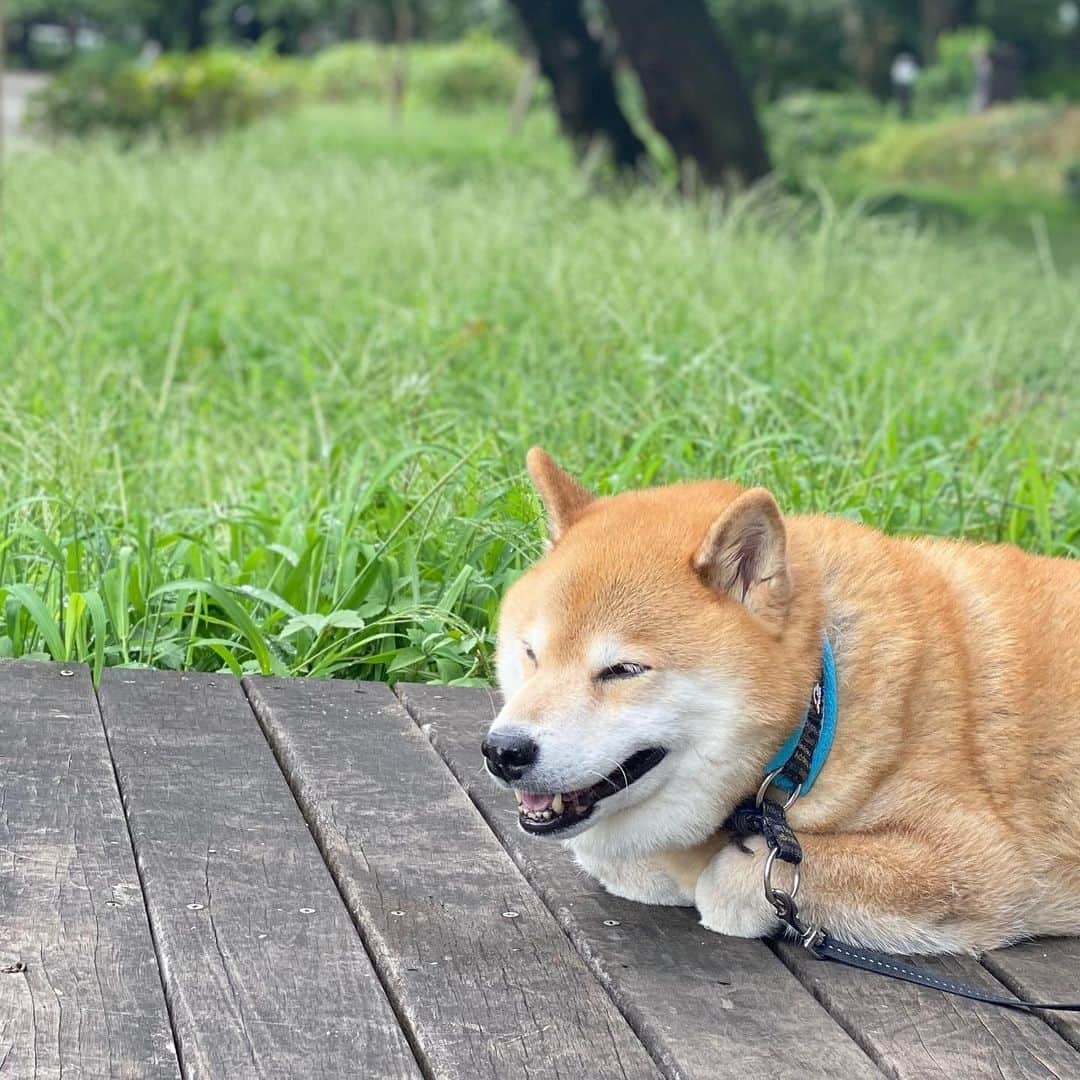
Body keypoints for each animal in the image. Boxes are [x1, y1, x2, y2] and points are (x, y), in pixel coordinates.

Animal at [483, 447, 1080, 954]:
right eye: (531, 653)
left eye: (624, 670)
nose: (503, 752)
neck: (819, 708)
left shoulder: (974, 860)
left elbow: (731, 879)